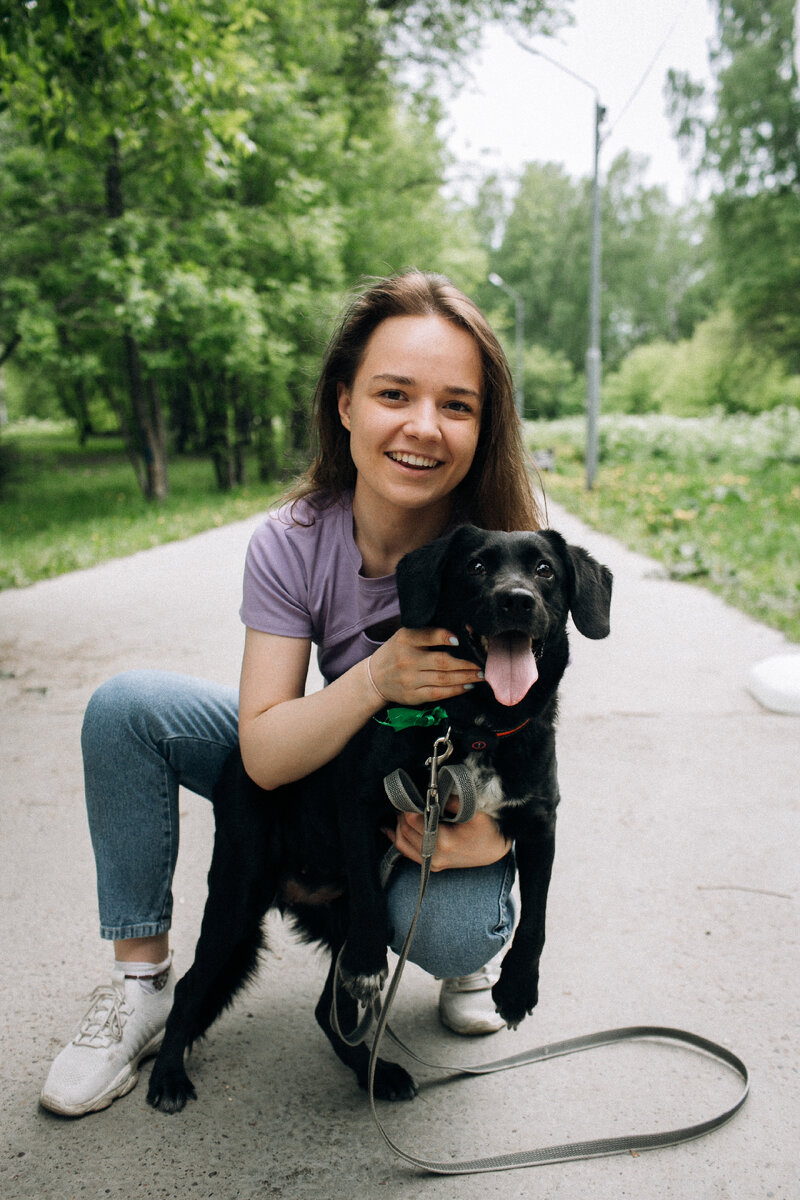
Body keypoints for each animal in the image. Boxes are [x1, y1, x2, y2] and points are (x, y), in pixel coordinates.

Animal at [146, 525, 612, 1112]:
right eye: (478, 567)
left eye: (545, 570)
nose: (516, 600)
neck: (476, 727)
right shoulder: (362, 802)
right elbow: (371, 899)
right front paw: (372, 962)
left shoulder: (538, 824)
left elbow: (536, 919)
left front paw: (517, 988)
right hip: (237, 894)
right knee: (192, 987)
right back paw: (167, 1078)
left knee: (328, 1010)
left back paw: (379, 1074)